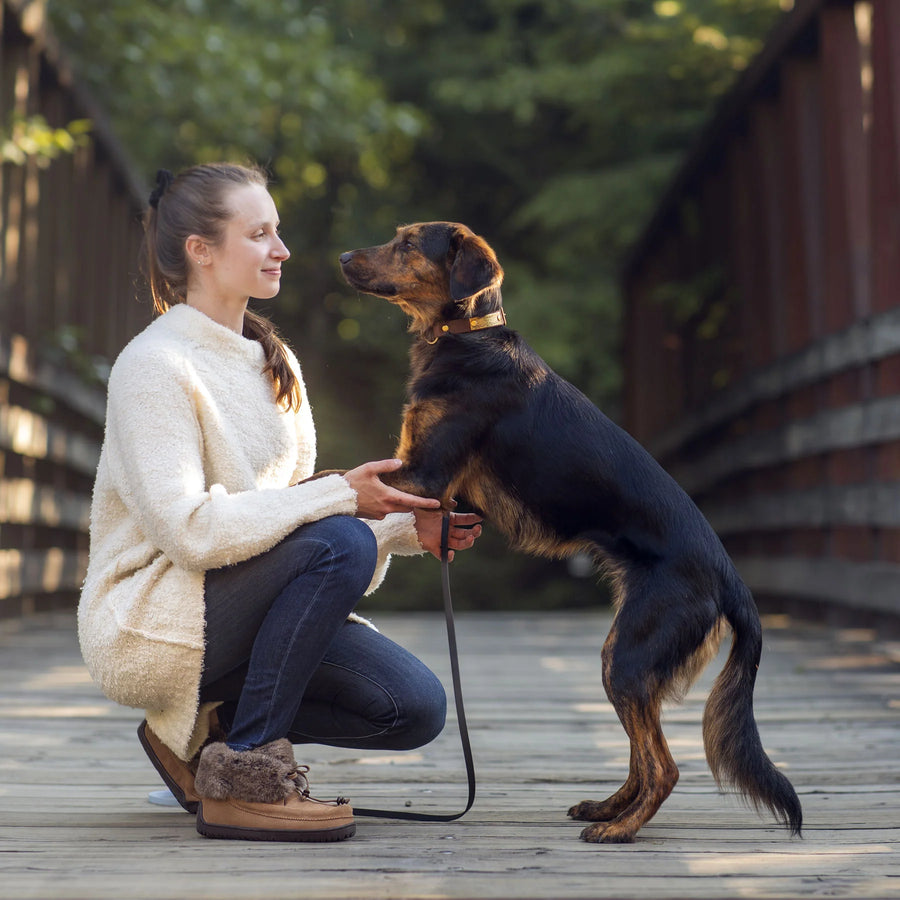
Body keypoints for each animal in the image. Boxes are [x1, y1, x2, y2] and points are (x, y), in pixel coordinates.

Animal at [338, 220, 800, 844]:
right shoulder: (437, 489)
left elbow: (331, 475)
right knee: (642, 754)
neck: (465, 338)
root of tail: (730, 577)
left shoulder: (420, 472)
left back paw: (619, 831)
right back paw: (608, 810)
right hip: (622, 656)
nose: (342, 256)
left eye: (409, 243)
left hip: (629, 656)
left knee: (665, 766)